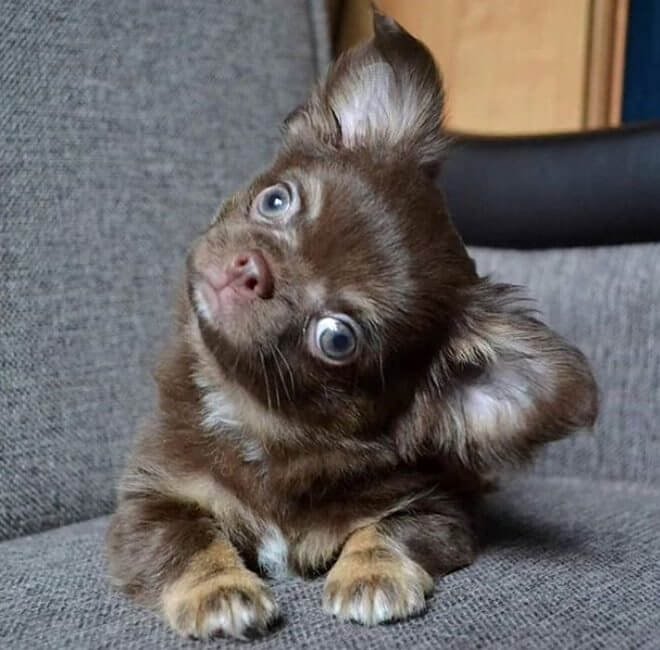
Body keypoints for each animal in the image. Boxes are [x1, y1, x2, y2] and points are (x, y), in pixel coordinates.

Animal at [107, 11, 598, 640]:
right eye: (275, 201)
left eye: (337, 338)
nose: (253, 270)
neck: (259, 424)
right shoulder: (152, 500)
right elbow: (188, 541)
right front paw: (220, 591)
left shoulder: (438, 508)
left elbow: (387, 529)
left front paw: (373, 573)